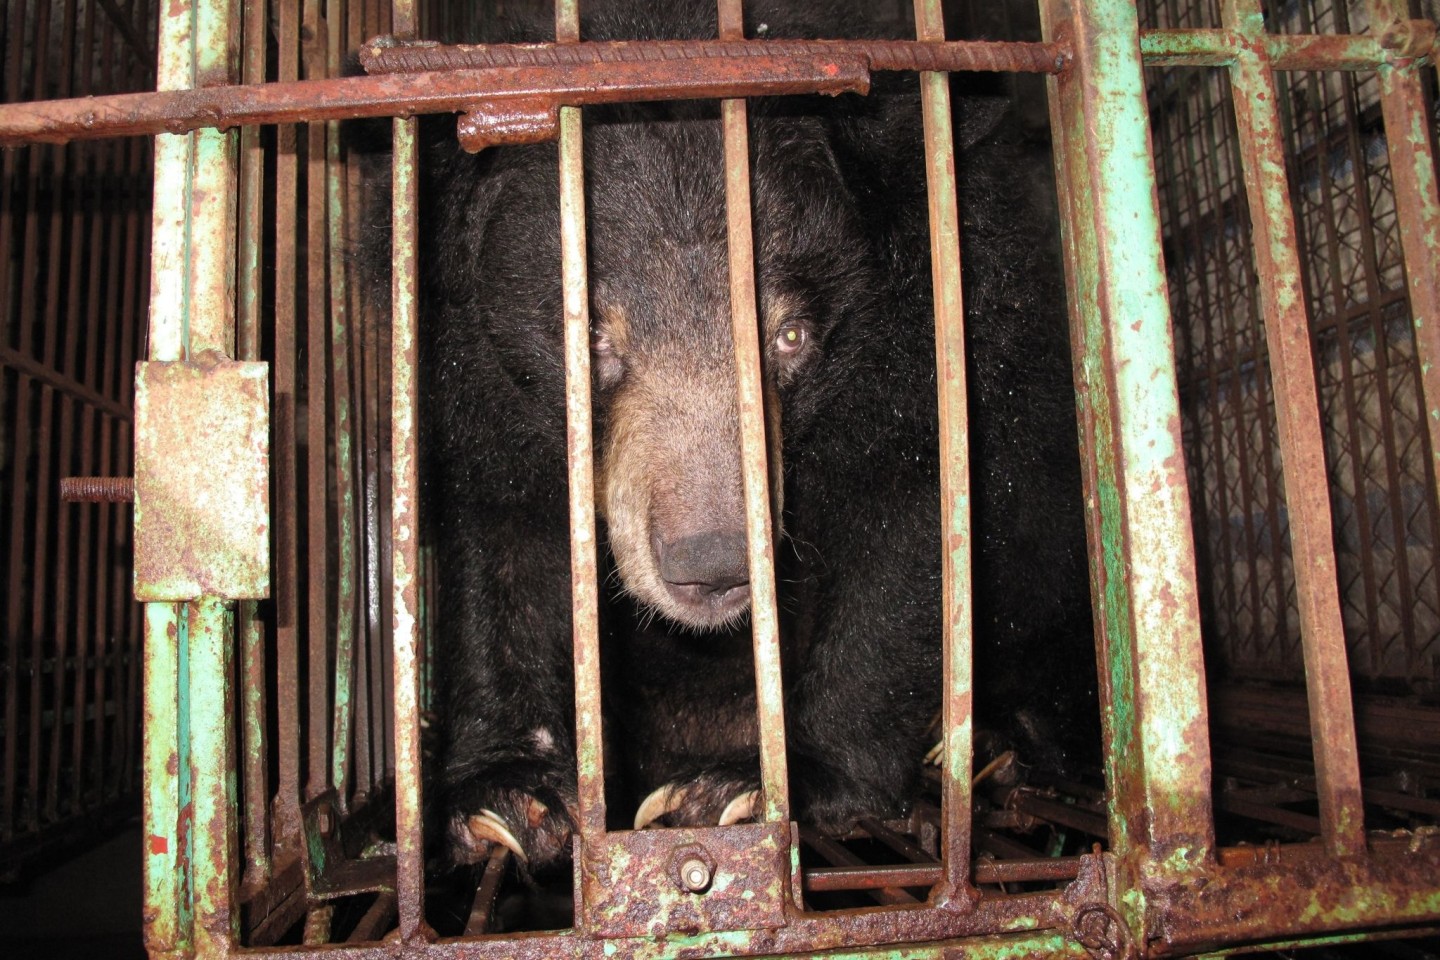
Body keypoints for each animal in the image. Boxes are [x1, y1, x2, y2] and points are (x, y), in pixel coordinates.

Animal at [411, 0, 1094, 869]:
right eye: (590, 338)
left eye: (790, 337)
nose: (714, 565)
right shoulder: (470, 378)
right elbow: (502, 539)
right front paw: (506, 796)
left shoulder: (941, 329)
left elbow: (913, 524)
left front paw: (751, 784)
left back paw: (998, 749)